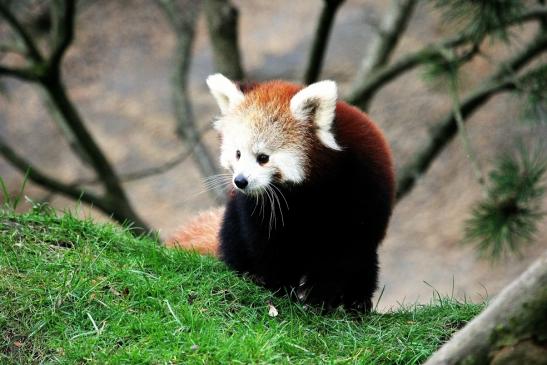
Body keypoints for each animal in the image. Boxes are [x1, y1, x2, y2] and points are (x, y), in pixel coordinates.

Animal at [169, 73, 396, 310]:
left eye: (263, 157)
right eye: (238, 154)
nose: (240, 181)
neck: (307, 191)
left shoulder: (359, 188)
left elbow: (342, 251)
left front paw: (320, 298)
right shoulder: (258, 206)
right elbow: (267, 243)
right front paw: (277, 287)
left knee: (364, 259)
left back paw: (357, 300)